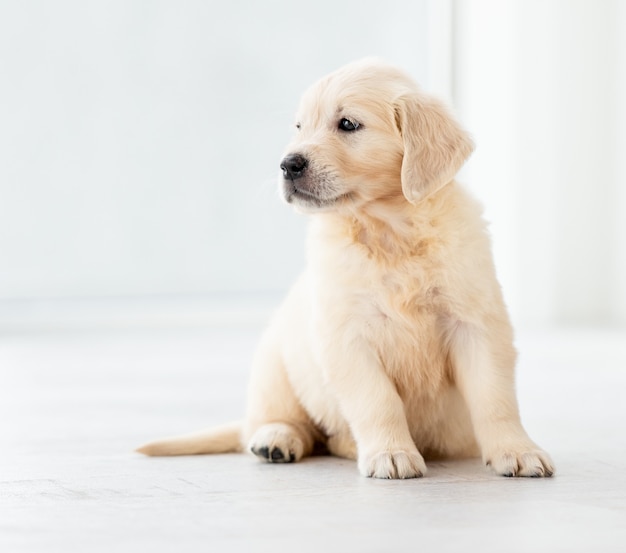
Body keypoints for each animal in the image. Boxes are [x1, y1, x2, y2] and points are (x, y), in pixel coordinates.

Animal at [136, 58, 552, 476]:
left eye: (348, 124)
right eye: (299, 127)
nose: (287, 164)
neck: (389, 230)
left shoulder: (475, 323)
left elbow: (494, 397)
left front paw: (516, 450)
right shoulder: (347, 335)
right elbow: (378, 401)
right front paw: (391, 453)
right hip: (274, 367)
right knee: (278, 422)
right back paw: (277, 439)